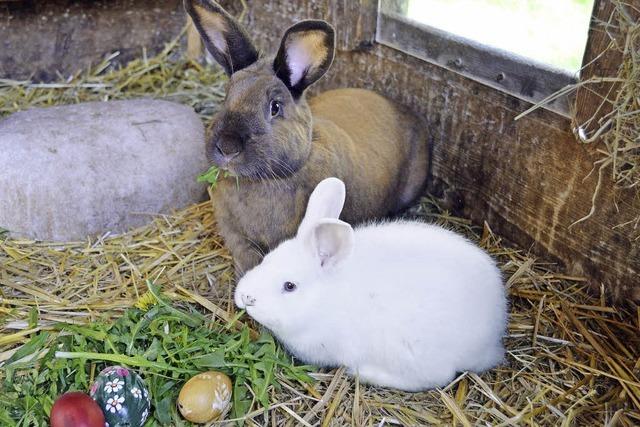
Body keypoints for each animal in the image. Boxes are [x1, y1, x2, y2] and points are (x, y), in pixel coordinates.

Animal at [232, 177, 508, 392]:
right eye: (266, 259)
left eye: (290, 286)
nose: (246, 297)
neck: (325, 299)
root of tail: (493, 334)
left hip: (410, 353)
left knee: (436, 377)